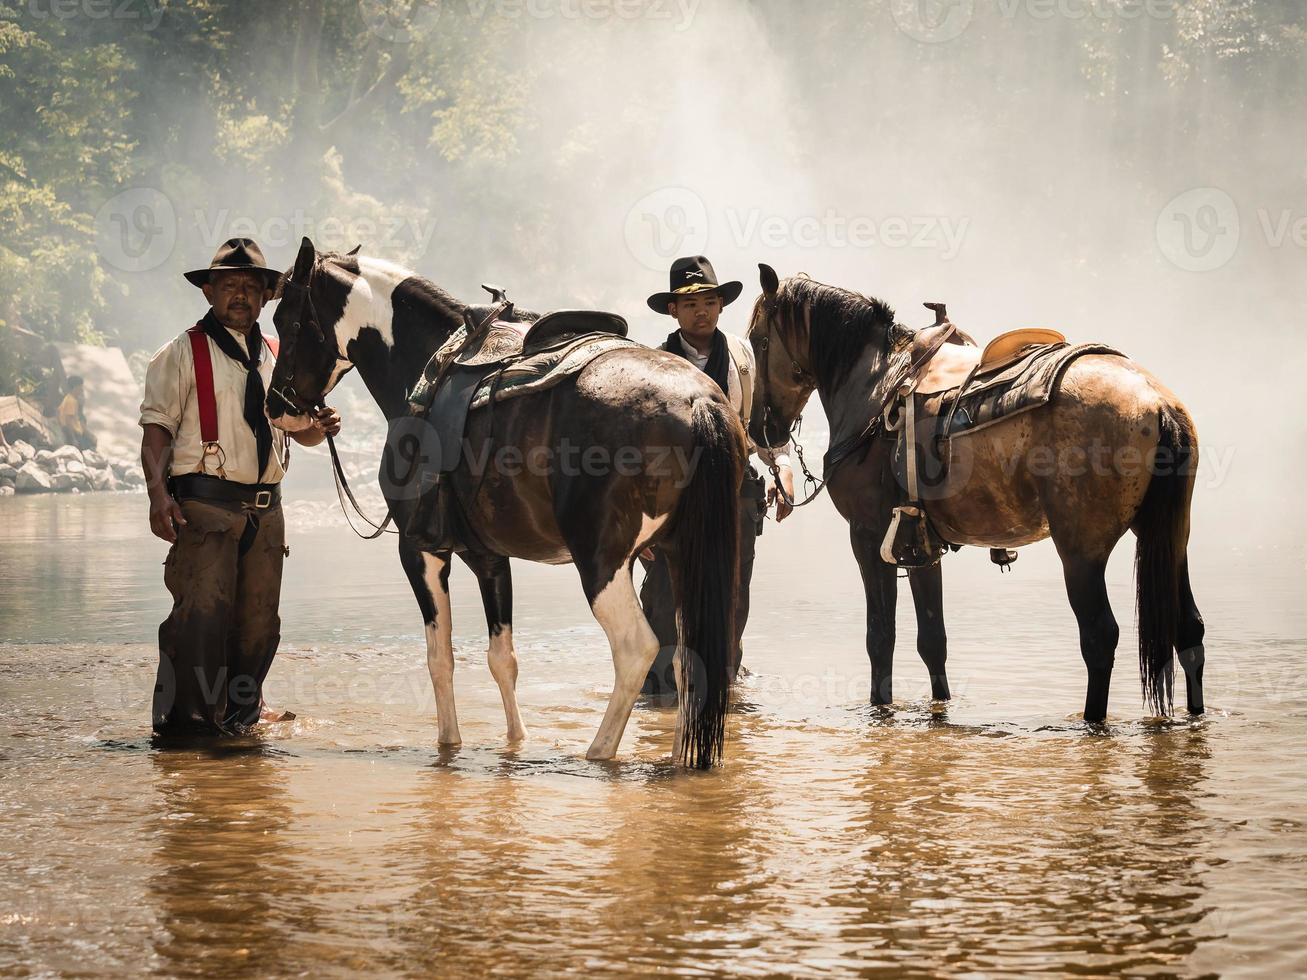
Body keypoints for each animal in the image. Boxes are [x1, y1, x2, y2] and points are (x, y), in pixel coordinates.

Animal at [262, 241, 747, 773]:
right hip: (683, 557)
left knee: (636, 650)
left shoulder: (420, 550)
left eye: (287, 319)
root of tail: (697, 399)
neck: (425, 366)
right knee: (690, 655)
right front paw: (515, 742)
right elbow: (502, 659)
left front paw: (449, 744)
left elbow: (440, 658)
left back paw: (598, 752)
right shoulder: (489, 556)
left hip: (602, 563)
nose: (276, 407)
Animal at [747, 265, 1202, 726]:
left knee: (1099, 636)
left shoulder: (868, 536)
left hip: (1080, 552)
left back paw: (1092, 720)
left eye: (759, 340)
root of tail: (1156, 402)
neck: (876, 386)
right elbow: (932, 639)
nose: (758, 430)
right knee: (1189, 630)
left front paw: (880, 707)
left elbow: (881, 636)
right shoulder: (919, 544)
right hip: (1169, 538)